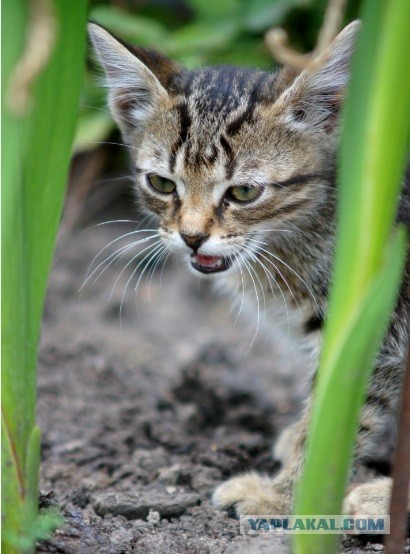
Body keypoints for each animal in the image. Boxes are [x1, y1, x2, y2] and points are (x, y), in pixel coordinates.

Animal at [89, 18, 410, 516]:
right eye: (162, 184)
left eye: (243, 193)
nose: (191, 236)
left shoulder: (377, 329)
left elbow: (337, 414)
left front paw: (288, 495)